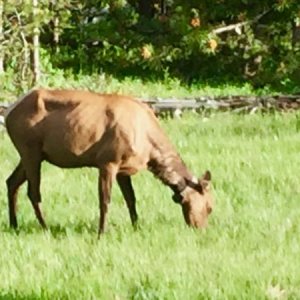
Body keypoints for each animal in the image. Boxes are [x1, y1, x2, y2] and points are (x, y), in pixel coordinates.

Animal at [3, 89, 212, 237]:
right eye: (210, 207)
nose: (201, 229)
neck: (149, 150)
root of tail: (8, 113)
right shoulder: (108, 161)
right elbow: (105, 200)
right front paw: (102, 233)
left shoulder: (124, 169)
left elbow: (131, 199)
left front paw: (136, 226)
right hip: (30, 149)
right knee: (33, 192)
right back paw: (45, 227)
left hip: (33, 154)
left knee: (11, 181)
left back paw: (14, 225)